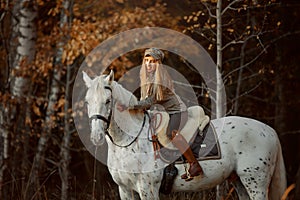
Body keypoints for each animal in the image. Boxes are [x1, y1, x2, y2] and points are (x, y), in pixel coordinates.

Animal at [81, 71, 286, 199]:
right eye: (87, 101)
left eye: (108, 101)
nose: (96, 136)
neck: (130, 141)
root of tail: (268, 130)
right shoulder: (125, 190)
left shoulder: (148, 189)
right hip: (240, 181)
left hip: (256, 182)